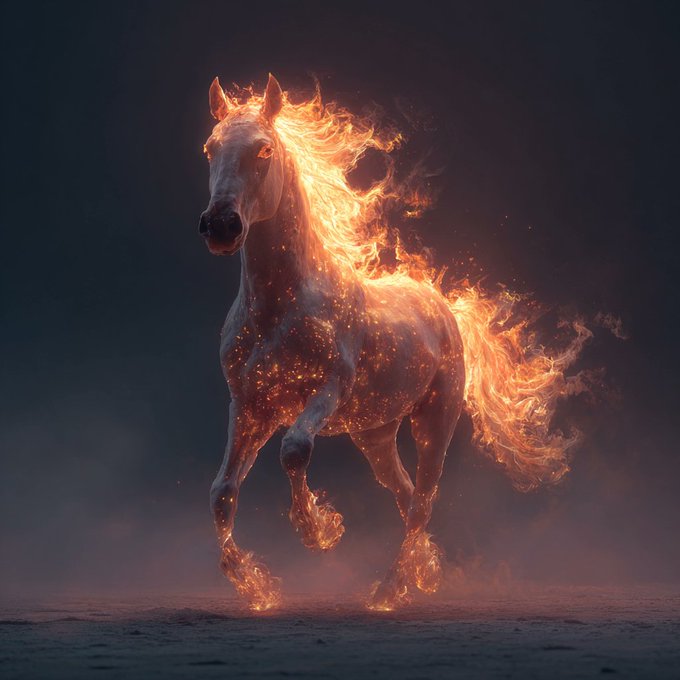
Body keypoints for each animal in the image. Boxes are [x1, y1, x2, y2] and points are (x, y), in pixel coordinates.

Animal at [198, 75, 589, 610]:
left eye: (264, 149)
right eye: (209, 148)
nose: (220, 225)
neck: (279, 307)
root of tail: (444, 307)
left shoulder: (326, 390)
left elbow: (295, 450)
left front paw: (318, 530)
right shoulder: (249, 406)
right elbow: (222, 492)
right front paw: (256, 588)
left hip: (434, 422)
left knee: (422, 501)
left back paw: (389, 589)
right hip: (376, 433)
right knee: (404, 496)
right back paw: (421, 573)